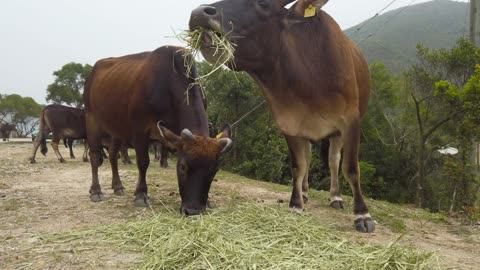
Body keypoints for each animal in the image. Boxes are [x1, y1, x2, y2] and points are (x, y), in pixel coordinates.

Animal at [83, 45, 233, 214]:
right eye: (182, 166)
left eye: (214, 171)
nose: (193, 210)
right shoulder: (140, 130)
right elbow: (143, 162)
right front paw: (141, 194)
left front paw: (207, 202)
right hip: (92, 122)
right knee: (95, 156)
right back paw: (96, 190)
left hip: (116, 130)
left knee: (113, 155)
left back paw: (118, 186)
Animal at [188, 0, 376, 232]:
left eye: (263, 4)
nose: (199, 13)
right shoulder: (289, 123)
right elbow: (298, 166)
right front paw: (296, 204)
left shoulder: (350, 121)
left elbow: (350, 168)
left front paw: (362, 214)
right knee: (309, 159)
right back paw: (304, 192)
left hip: (336, 133)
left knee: (334, 161)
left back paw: (335, 197)